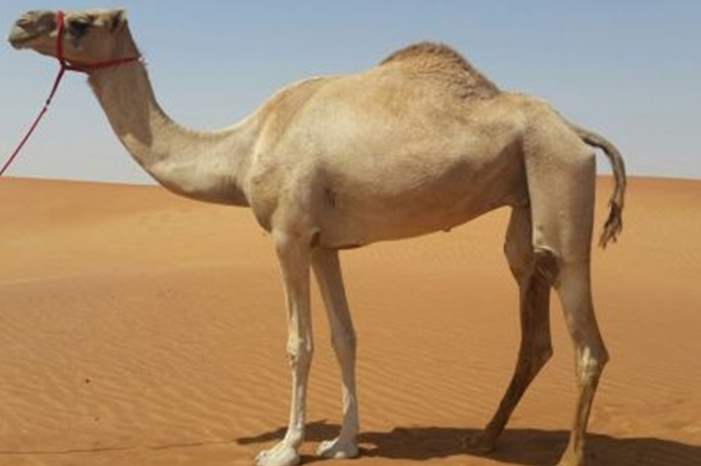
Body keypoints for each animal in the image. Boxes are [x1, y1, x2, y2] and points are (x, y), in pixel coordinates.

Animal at [8, 8, 626, 466]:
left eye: (82, 22)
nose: (20, 24)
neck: (242, 149)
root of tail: (576, 130)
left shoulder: (287, 234)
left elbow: (298, 342)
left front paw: (283, 449)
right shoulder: (323, 243)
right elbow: (344, 336)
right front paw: (343, 442)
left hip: (560, 178)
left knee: (587, 338)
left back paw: (570, 457)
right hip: (525, 202)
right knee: (532, 310)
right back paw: (483, 438)